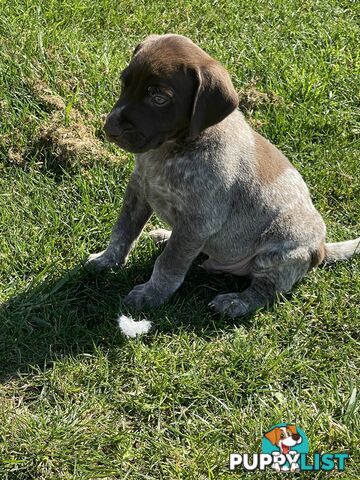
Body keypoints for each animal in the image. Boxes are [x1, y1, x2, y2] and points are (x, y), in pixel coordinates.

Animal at [86, 34, 358, 318]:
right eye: (124, 84)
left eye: (158, 98)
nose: (109, 128)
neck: (173, 149)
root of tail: (321, 247)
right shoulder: (139, 190)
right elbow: (123, 230)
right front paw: (107, 260)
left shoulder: (198, 221)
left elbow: (169, 263)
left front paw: (152, 294)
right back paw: (165, 236)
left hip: (278, 252)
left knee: (268, 290)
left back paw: (236, 302)